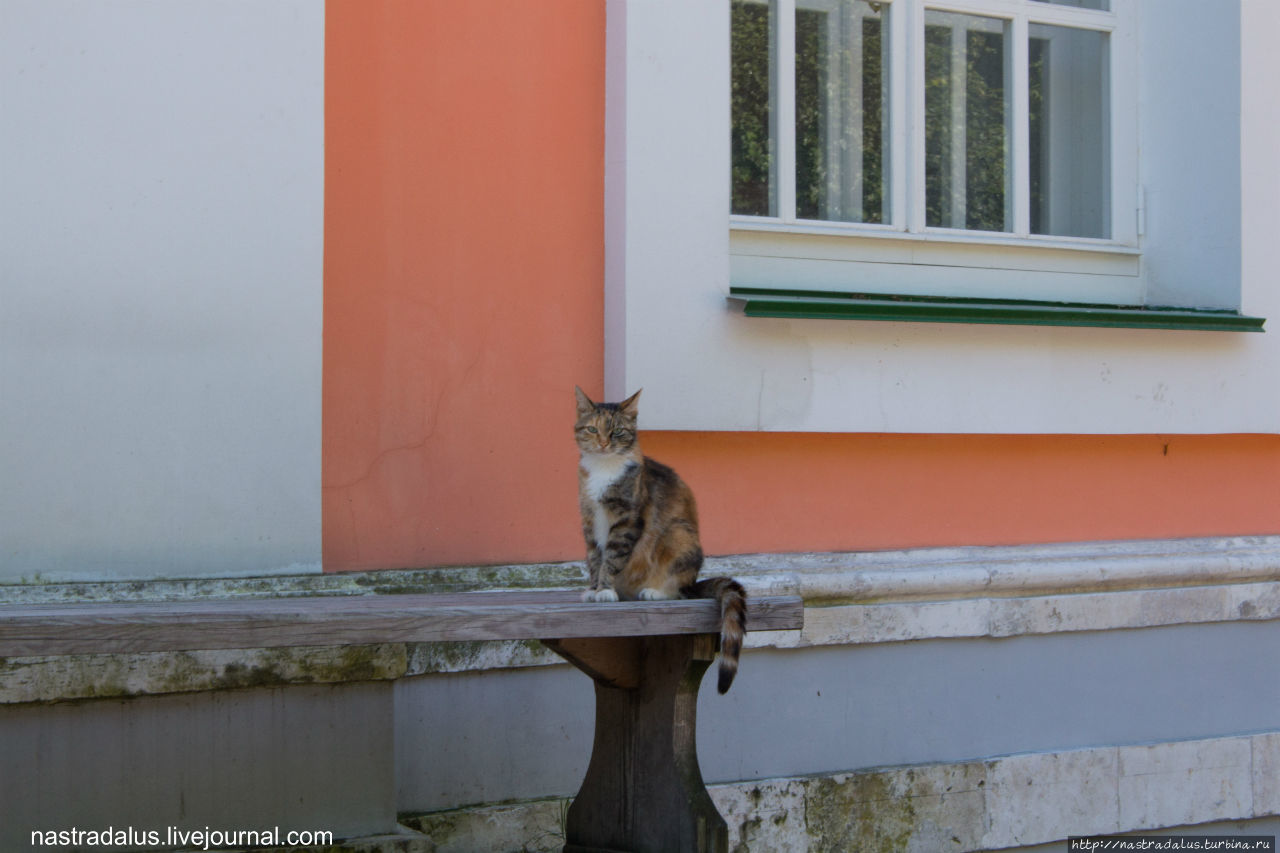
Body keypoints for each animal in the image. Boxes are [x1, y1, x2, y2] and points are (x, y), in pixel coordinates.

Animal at [573, 384, 747, 691]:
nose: (604, 443)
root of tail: (693, 582)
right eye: (593, 429)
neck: (604, 469)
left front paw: (604, 590)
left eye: (617, 431)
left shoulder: (627, 521)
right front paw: (593, 589)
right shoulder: (590, 522)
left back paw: (655, 591)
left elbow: (611, 558)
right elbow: (595, 558)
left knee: (678, 589)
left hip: (677, 534)